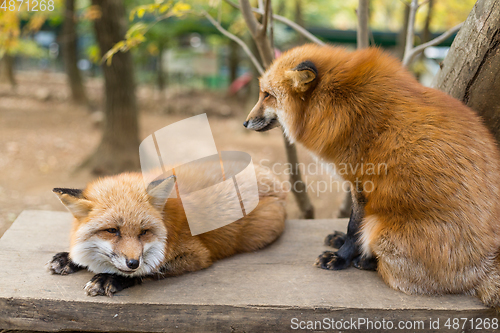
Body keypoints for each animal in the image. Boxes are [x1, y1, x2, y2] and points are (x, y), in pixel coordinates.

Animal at [49, 163, 288, 296]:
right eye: (112, 231)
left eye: (144, 232)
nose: (133, 263)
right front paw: (69, 258)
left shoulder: (197, 254)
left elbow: (151, 269)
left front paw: (111, 278)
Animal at [244, 44, 500, 308]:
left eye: (267, 95)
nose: (245, 122)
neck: (336, 101)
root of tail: (485, 266)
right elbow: (351, 226)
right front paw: (341, 243)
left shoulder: (362, 183)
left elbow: (354, 228)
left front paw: (341, 258)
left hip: (380, 229)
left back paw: (365, 260)